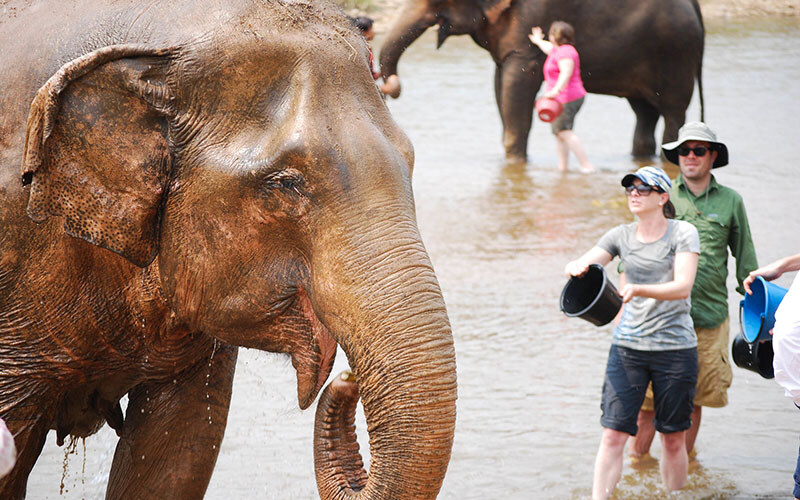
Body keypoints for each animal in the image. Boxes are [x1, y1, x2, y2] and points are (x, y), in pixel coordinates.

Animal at [382, 0, 708, 161]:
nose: (393, 85)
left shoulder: (527, 23)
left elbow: (516, 86)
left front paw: (514, 161)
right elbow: (500, 85)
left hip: (676, 54)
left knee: (672, 112)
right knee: (644, 112)